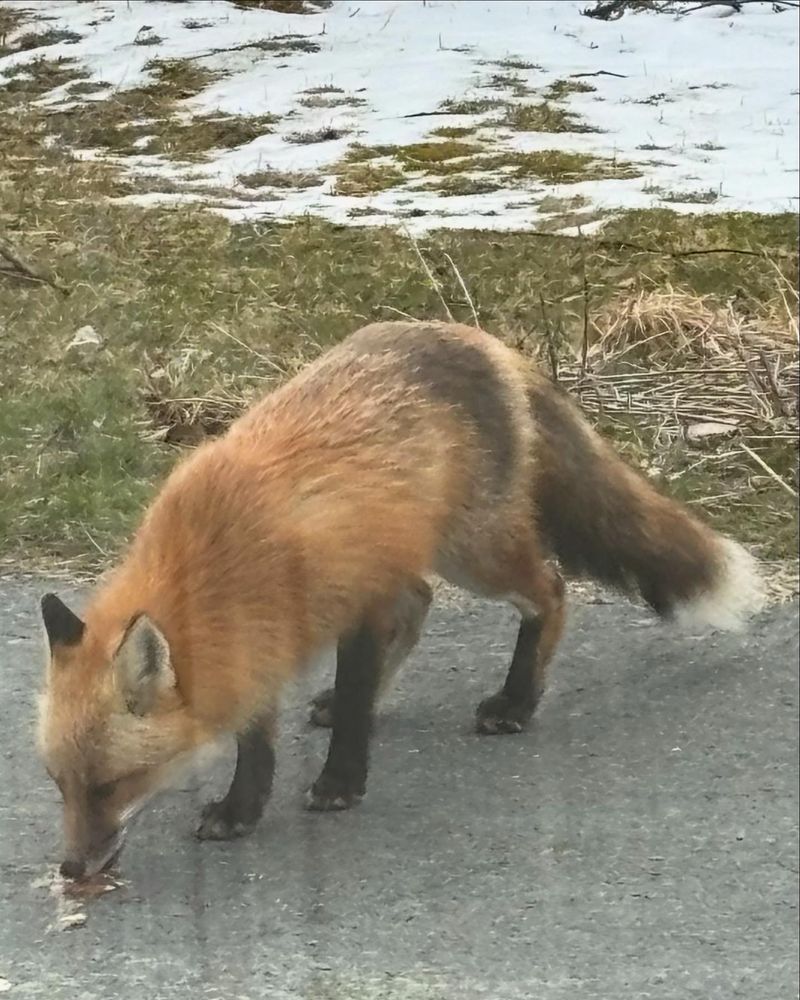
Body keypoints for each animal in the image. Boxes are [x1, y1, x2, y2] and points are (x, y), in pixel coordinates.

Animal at [38, 319, 765, 880]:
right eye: (60, 784)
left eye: (110, 785)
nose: (71, 870)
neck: (218, 560)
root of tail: (482, 341)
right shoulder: (259, 644)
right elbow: (259, 741)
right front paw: (243, 811)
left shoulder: (353, 602)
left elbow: (350, 702)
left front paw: (339, 784)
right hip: (425, 554)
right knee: (421, 601)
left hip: (476, 553)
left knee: (551, 591)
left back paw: (516, 702)